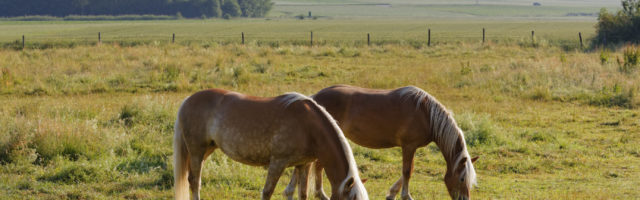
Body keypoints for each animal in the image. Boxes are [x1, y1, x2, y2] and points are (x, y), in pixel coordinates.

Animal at [174, 89, 370, 200]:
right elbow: (267, 192)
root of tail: (187, 100)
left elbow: (301, 194)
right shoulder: (277, 163)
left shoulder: (303, 165)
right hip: (197, 150)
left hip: (206, 150)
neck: (308, 126)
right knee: (194, 181)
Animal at [288, 85, 478, 200]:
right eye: (462, 178)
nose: (465, 199)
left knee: (316, 166)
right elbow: (407, 171)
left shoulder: (410, 147)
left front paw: (392, 194)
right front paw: (406, 196)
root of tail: (314, 98)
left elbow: (407, 171)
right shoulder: (409, 146)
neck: (426, 114)